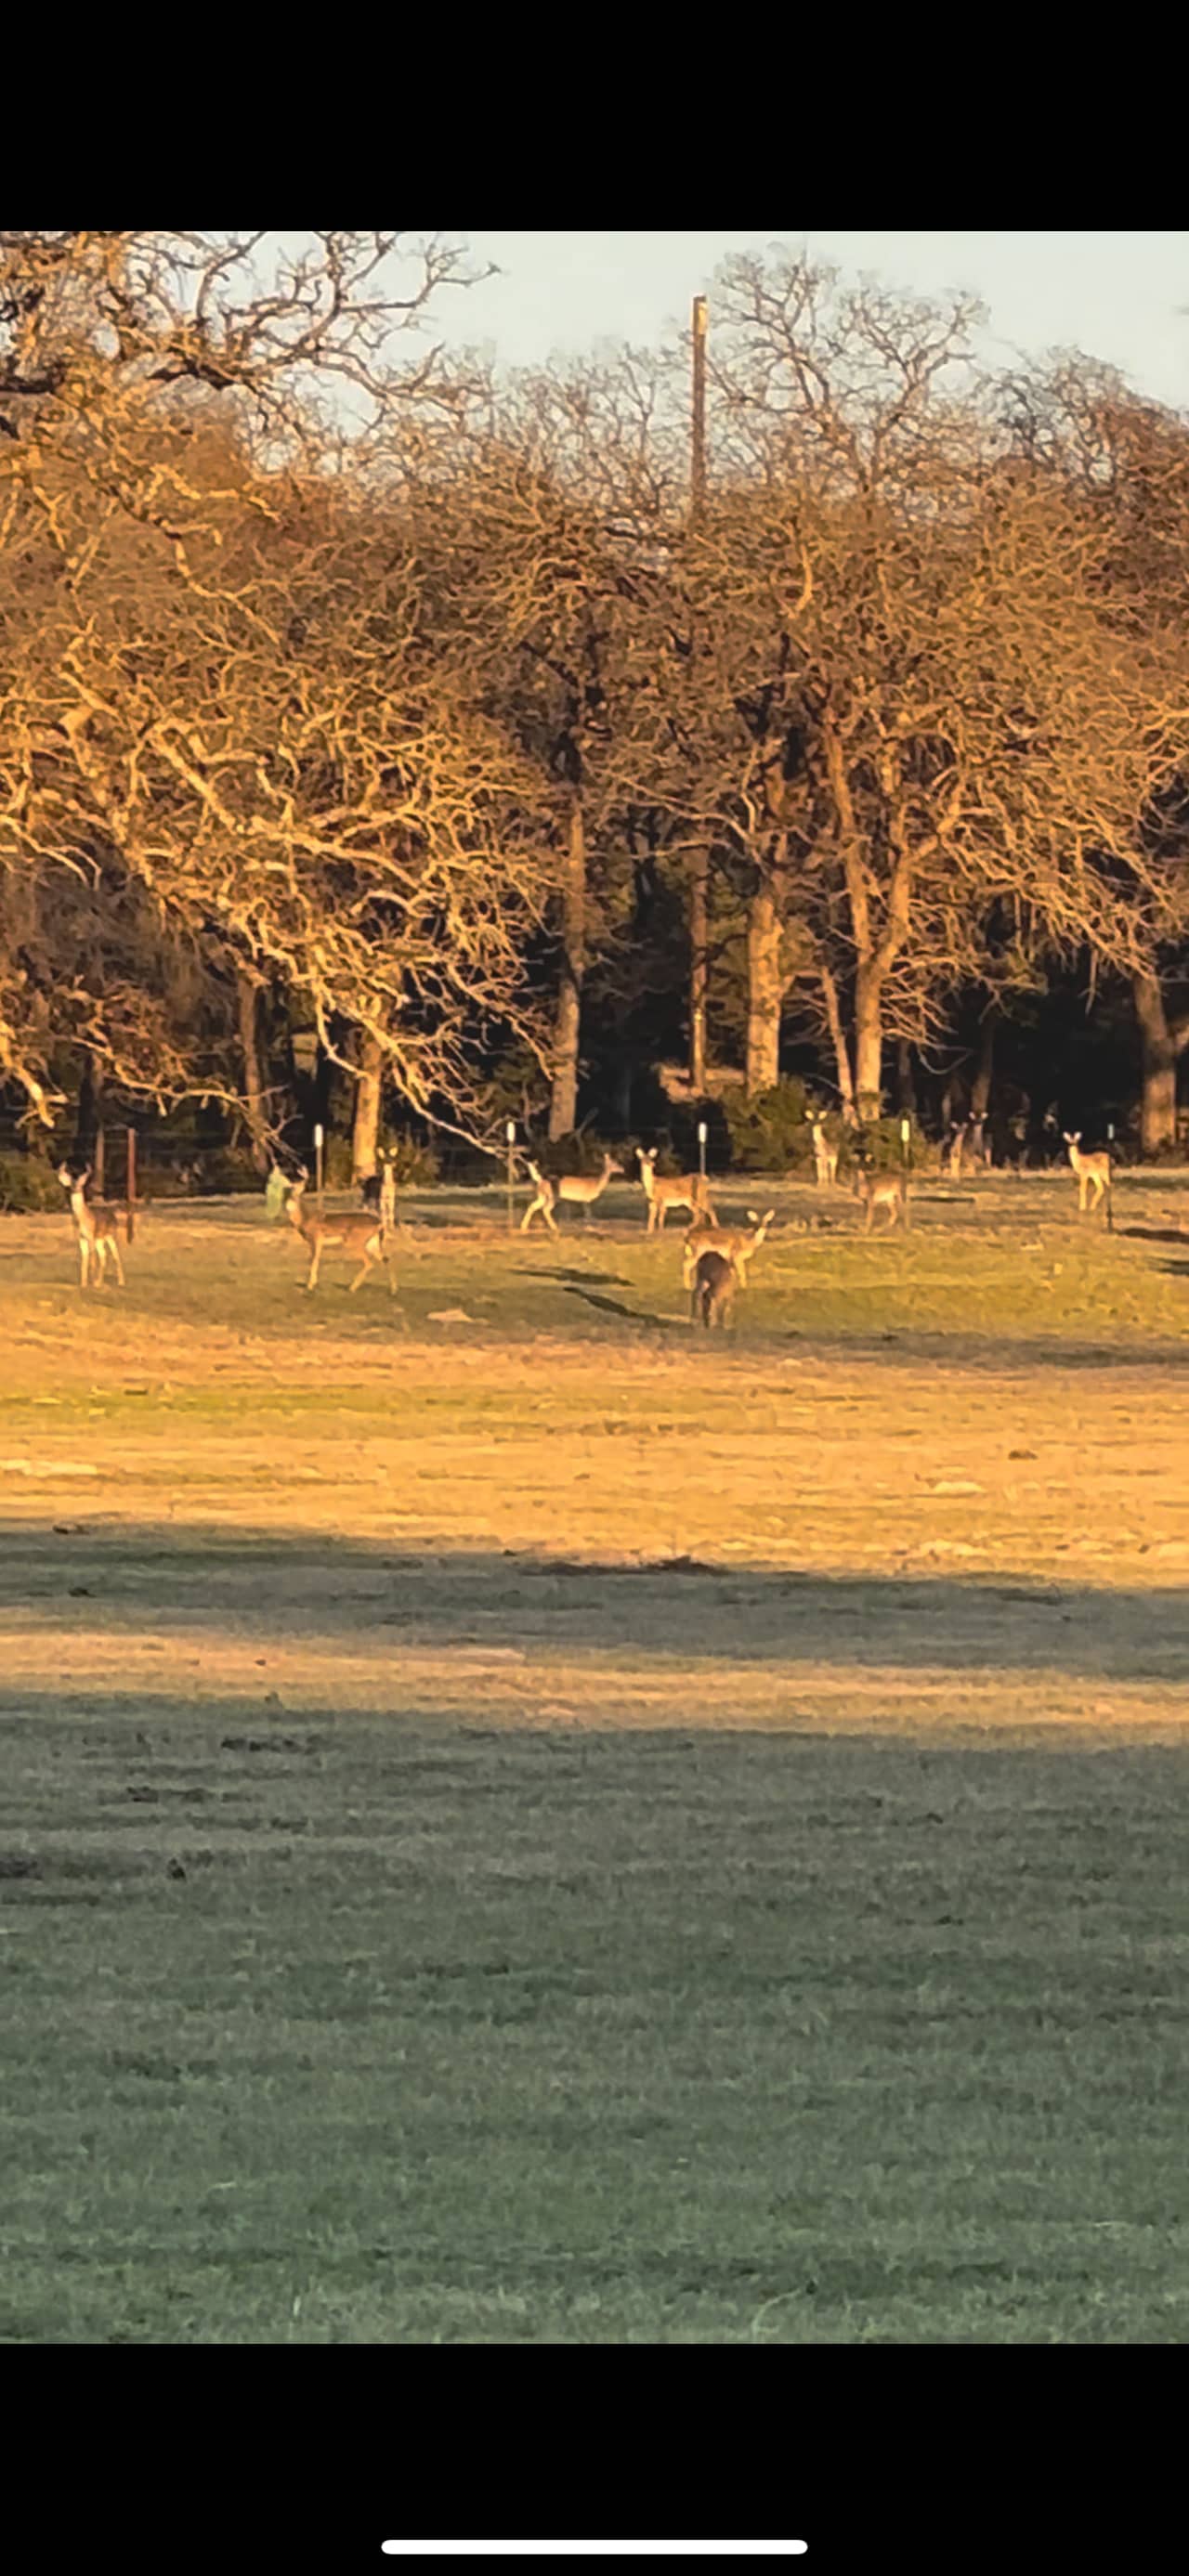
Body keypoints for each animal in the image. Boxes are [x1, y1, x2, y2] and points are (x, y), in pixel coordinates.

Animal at [57, 1169, 126, 1288]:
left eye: (81, 1183)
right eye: (71, 1183)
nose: (75, 1188)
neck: (82, 1218)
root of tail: (114, 1216)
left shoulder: (91, 1235)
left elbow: (92, 1260)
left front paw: (91, 1283)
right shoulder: (81, 1237)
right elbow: (84, 1259)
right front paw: (83, 1284)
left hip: (111, 1235)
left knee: (115, 1255)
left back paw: (121, 1282)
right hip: (100, 1239)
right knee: (103, 1255)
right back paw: (99, 1282)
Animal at [283, 1174, 392, 1298]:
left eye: (297, 1193)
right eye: (288, 1192)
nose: (288, 1205)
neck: (306, 1219)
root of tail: (379, 1223)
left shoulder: (316, 1238)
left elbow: (314, 1260)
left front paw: (310, 1285)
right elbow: (313, 1259)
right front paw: (312, 1283)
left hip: (355, 1242)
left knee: (369, 1263)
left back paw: (352, 1287)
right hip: (372, 1242)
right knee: (386, 1259)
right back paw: (393, 1290)